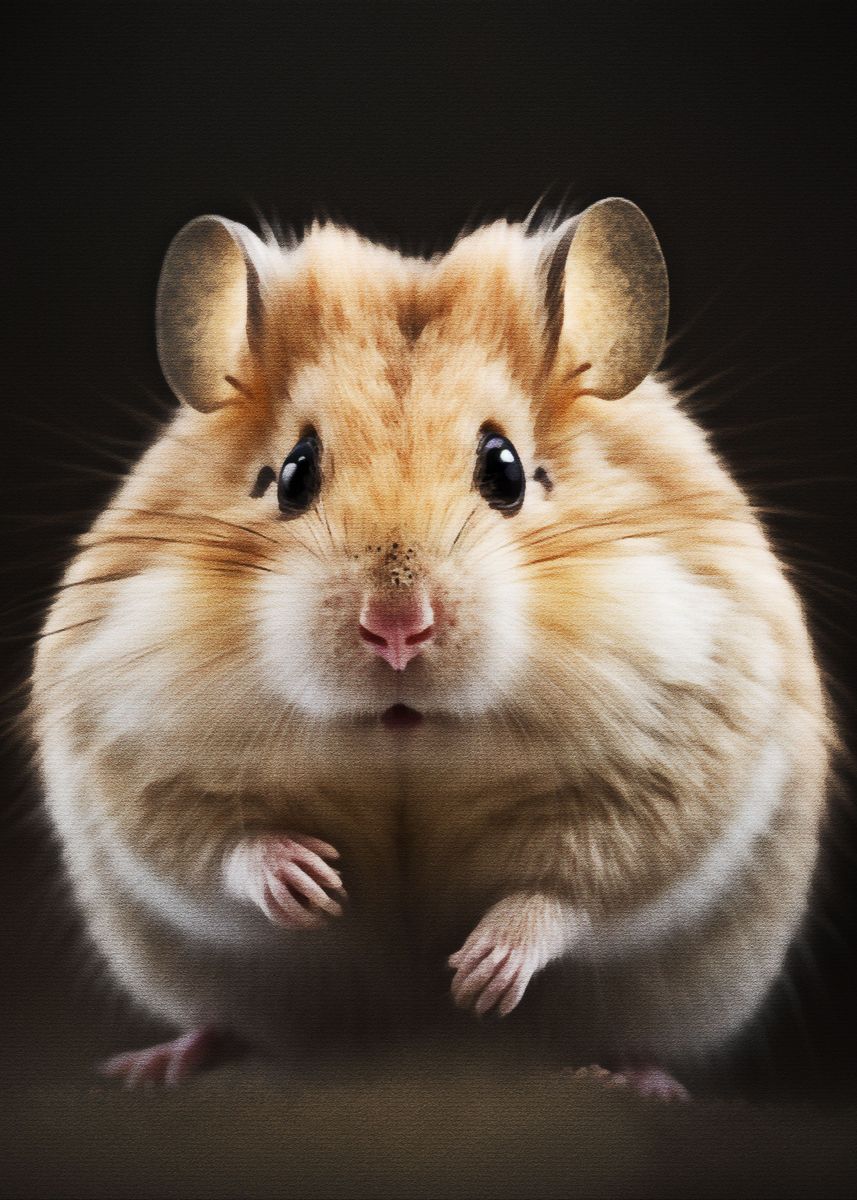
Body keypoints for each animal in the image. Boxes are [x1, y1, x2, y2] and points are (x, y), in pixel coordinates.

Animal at [29, 198, 831, 1094]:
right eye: (292, 474)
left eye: (505, 469)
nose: (396, 630)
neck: (405, 734)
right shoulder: (131, 754)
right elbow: (215, 842)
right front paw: (311, 885)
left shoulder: (674, 768)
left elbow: (570, 887)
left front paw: (478, 977)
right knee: (223, 1022)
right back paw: (154, 1065)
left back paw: (634, 1080)